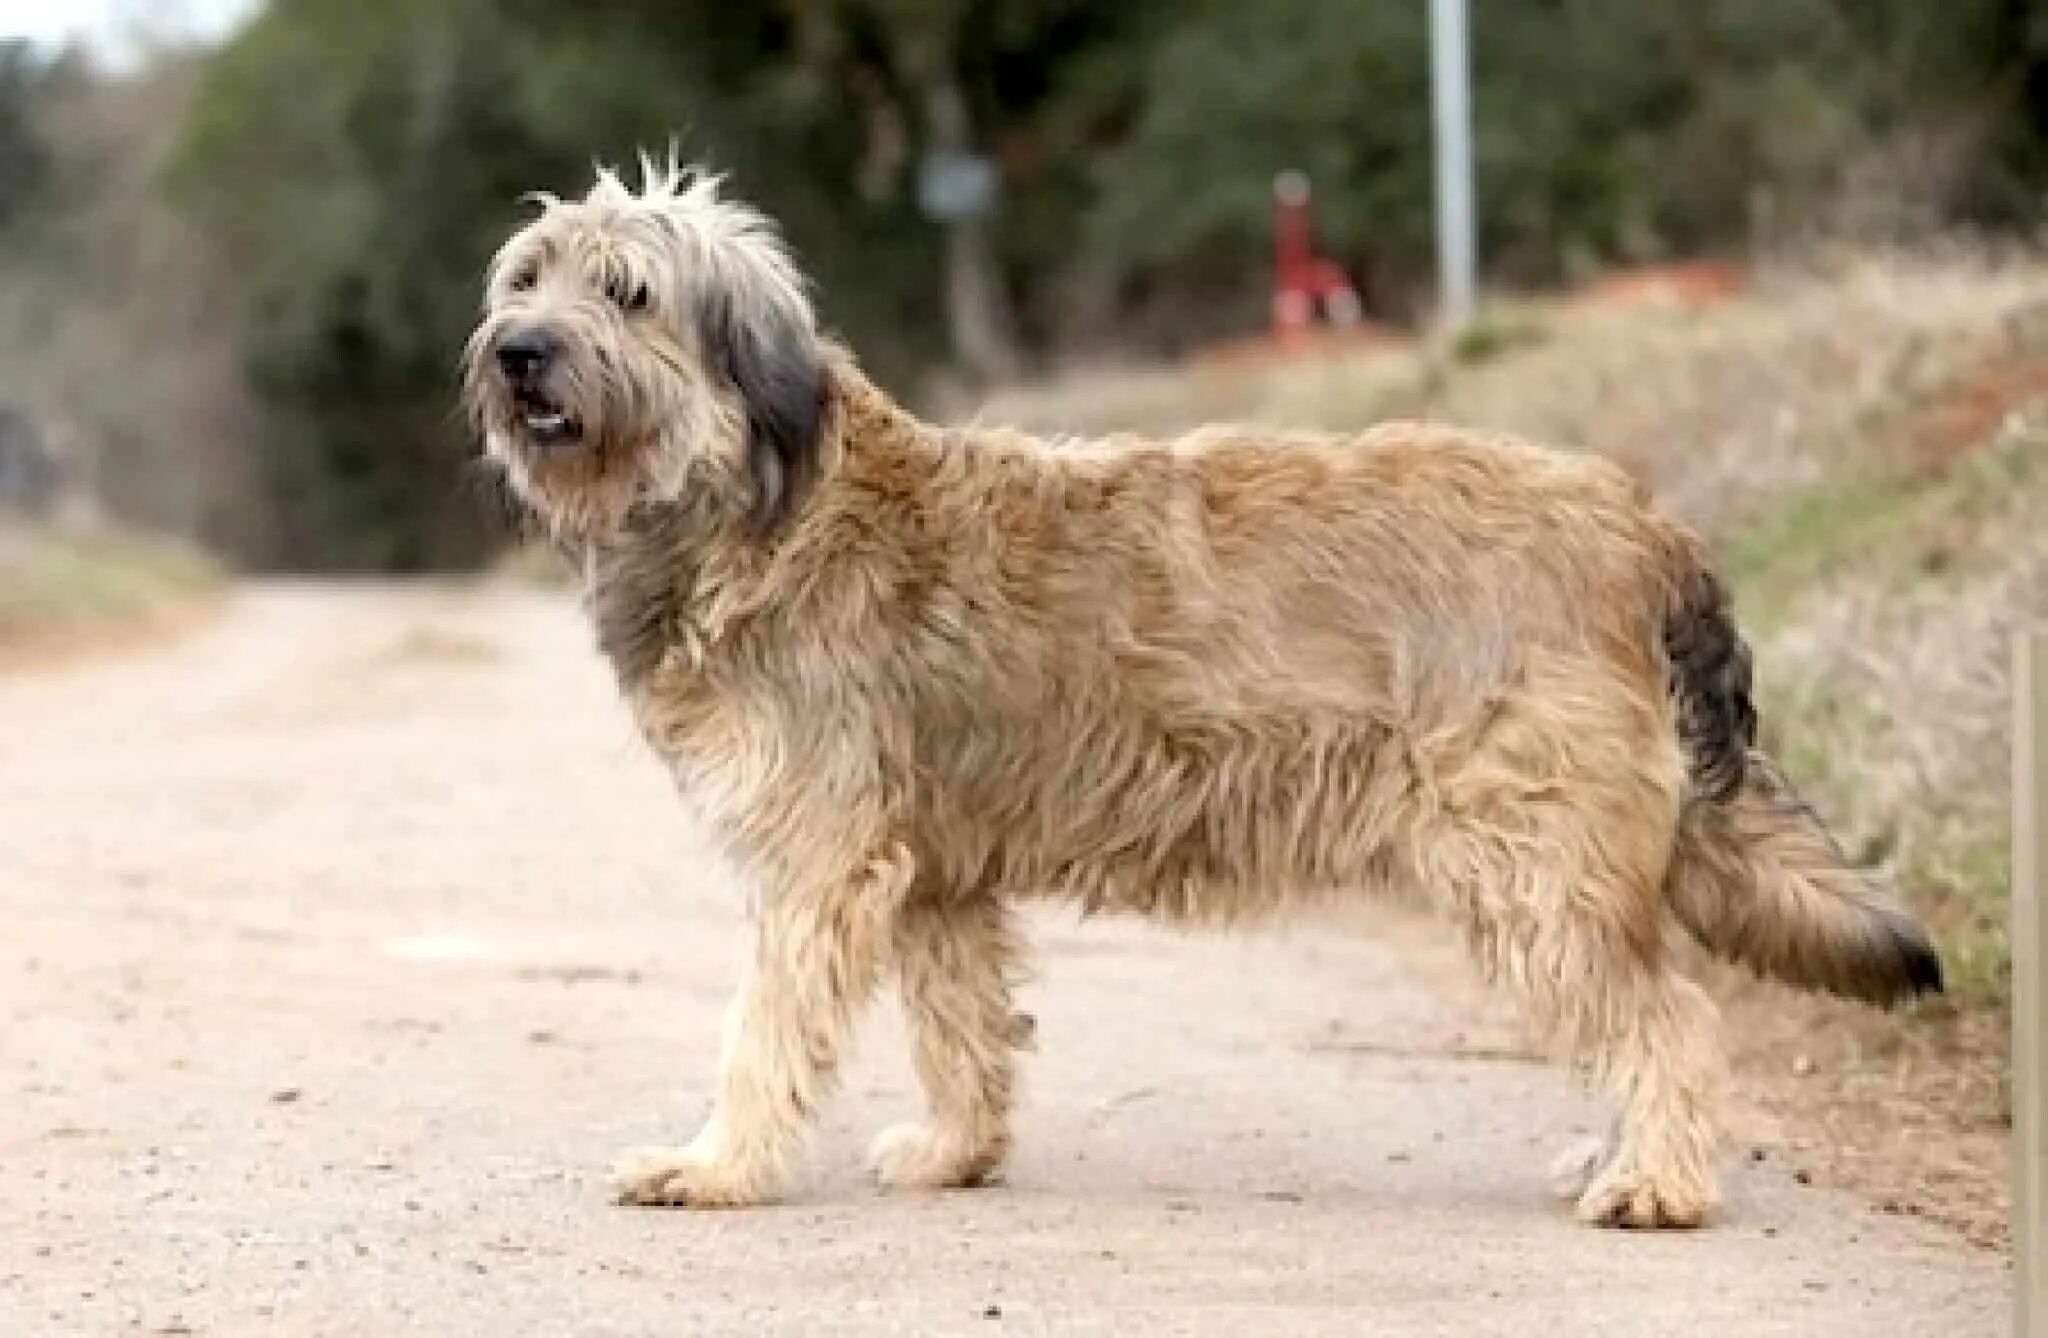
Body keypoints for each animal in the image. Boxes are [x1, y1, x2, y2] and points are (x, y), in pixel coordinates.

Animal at [460, 153, 1933, 1221]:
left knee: (1669, 1016)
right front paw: (954, 1150)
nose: (518, 350)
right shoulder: (935, 873)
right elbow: (962, 1026)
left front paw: (713, 1163)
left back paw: (1658, 1182)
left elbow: (763, 1029)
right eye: (526, 276)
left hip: (1531, 859)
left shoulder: (820, 861)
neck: (758, 502)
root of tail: (1644, 524)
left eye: (628, 293)